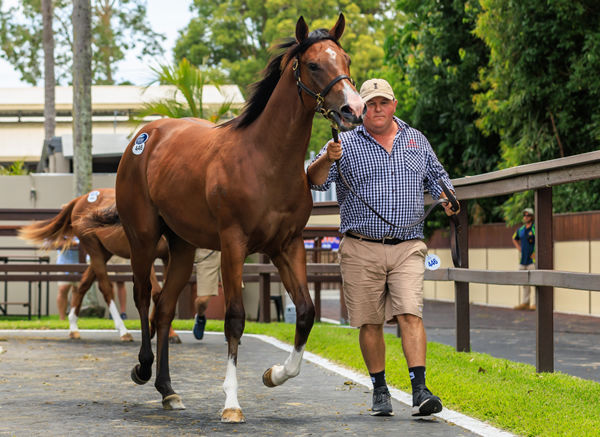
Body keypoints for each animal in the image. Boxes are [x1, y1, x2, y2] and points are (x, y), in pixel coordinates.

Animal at [18, 186, 178, 340]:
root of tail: (80, 199)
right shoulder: (144, 257)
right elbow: (156, 292)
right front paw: (154, 329)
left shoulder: (169, 258)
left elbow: (166, 293)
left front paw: (168, 333)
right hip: (93, 249)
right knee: (105, 288)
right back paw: (123, 331)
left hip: (105, 252)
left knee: (84, 284)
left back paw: (73, 327)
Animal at [110, 16, 364, 422]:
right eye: (313, 65)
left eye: (346, 59)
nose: (353, 110)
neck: (265, 160)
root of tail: (146, 136)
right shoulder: (233, 244)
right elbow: (234, 317)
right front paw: (231, 402)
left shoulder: (286, 245)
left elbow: (306, 312)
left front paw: (274, 375)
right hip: (144, 238)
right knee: (142, 295)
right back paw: (143, 368)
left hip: (183, 247)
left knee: (164, 308)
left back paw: (168, 390)